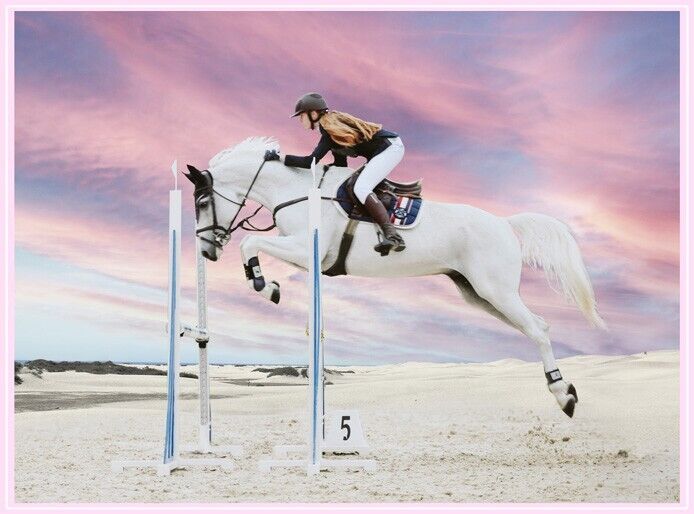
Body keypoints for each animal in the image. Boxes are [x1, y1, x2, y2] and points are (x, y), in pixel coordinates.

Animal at [184, 136, 607, 418]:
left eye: (203, 201)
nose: (206, 251)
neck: (296, 190)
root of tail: (504, 223)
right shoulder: (306, 258)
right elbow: (253, 247)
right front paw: (267, 285)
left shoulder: (306, 249)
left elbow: (250, 244)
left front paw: (265, 286)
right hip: (478, 294)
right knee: (537, 327)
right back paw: (562, 390)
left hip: (496, 290)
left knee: (538, 329)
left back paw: (563, 394)